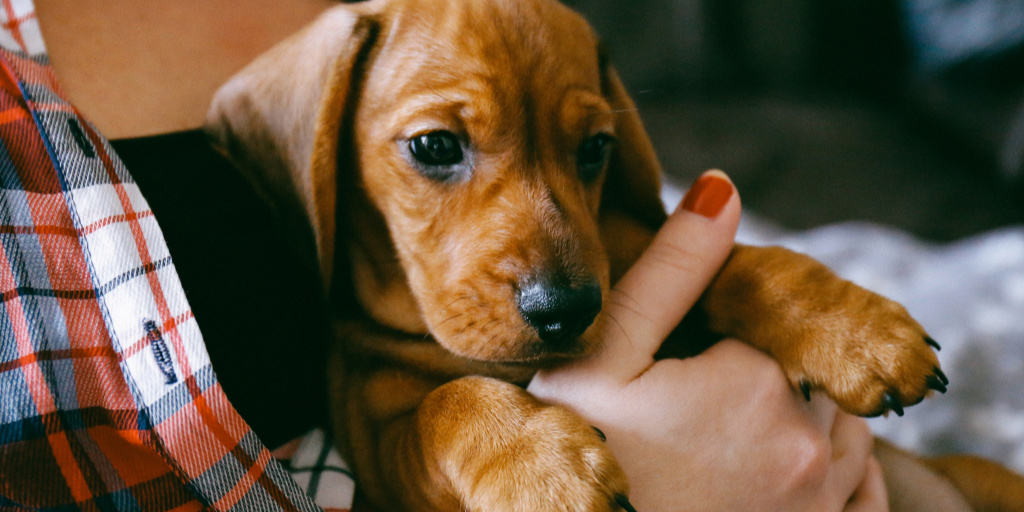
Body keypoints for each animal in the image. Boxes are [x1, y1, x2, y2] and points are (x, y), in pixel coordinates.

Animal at [203, 0, 1024, 509]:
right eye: (434, 146)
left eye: (595, 148)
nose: (565, 312)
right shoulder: (379, 448)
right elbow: (449, 402)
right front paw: (542, 467)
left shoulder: (635, 253)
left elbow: (750, 264)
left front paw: (855, 331)